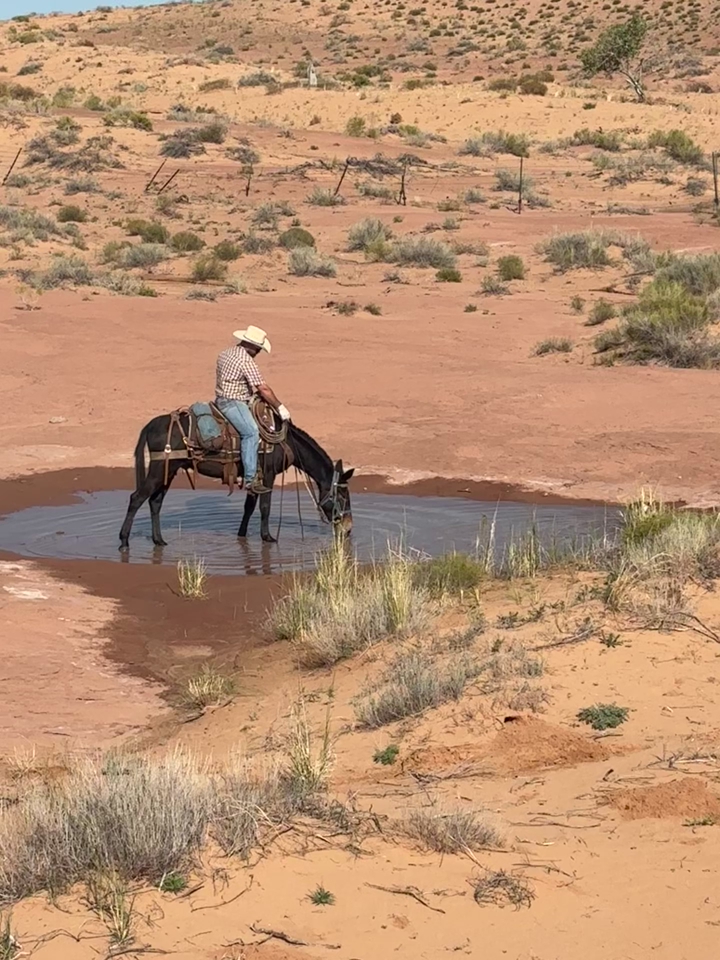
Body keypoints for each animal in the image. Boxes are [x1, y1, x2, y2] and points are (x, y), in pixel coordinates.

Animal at [118, 412, 354, 550]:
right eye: (343, 495)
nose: (349, 528)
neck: (285, 442)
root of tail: (151, 425)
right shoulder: (268, 475)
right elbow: (265, 508)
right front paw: (268, 537)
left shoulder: (255, 477)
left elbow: (249, 507)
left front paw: (242, 536)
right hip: (159, 470)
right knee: (136, 498)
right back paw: (124, 541)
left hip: (169, 471)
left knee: (155, 502)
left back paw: (159, 540)